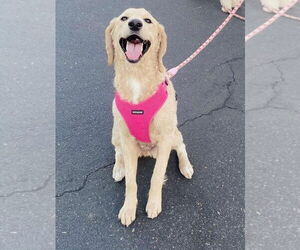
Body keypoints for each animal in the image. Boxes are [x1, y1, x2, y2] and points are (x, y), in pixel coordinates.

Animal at [105, 8, 195, 227]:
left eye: (148, 21)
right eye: (124, 18)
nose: (135, 24)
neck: (136, 77)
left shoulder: (165, 139)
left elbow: (156, 176)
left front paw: (153, 204)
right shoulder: (127, 139)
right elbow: (131, 181)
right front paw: (129, 208)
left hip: (174, 133)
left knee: (181, 146)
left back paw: (186, 166)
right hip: (116, 132)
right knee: (118, 151)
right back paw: (119, 168)